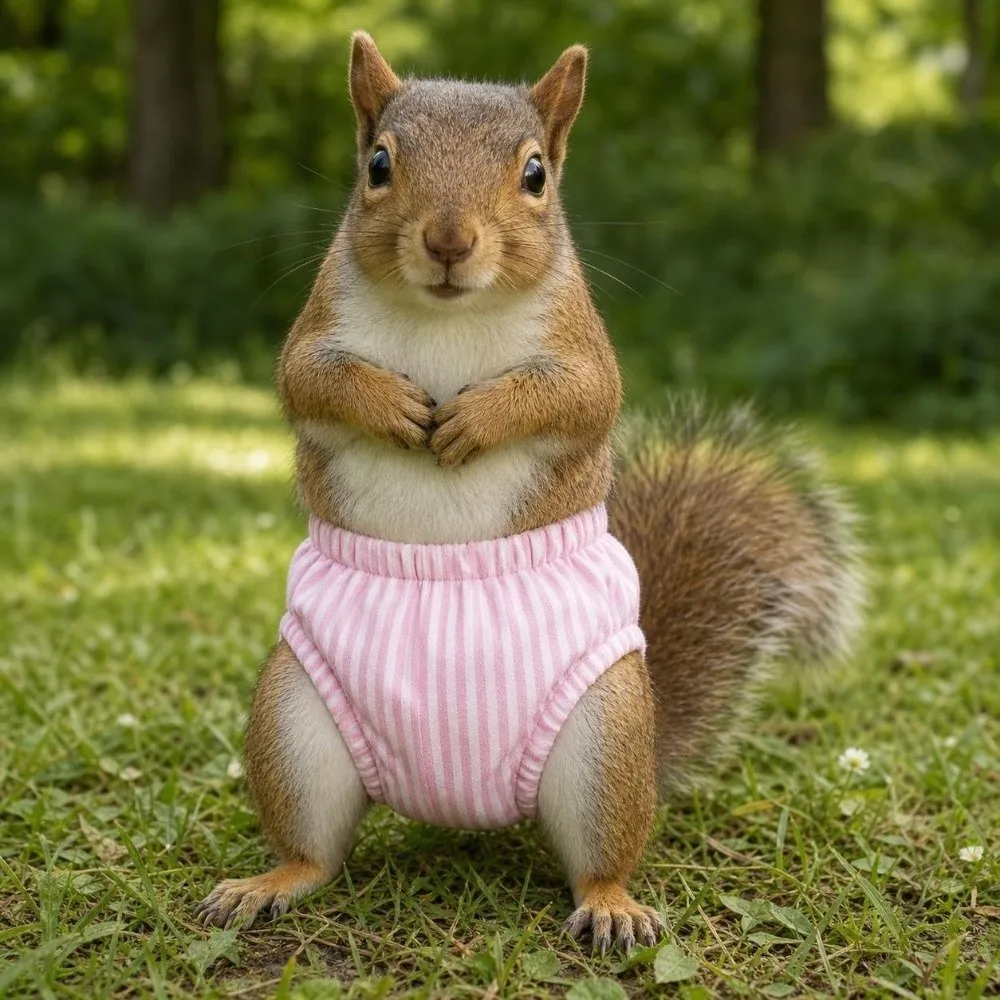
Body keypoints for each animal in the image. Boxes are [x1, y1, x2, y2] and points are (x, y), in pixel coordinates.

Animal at [195, 33, 863, 954]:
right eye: (378, 164)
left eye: (536, 174)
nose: (448, 240)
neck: (447, 318)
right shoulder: (316, 330)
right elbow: (308, 380)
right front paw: (391, 405)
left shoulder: (582, 352)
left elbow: (577, 397)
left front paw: (478, 417)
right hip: (295, 722)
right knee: (314, 851)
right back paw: (269, 883)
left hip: (603, 739)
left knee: (599, 857)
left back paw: (613, 904)